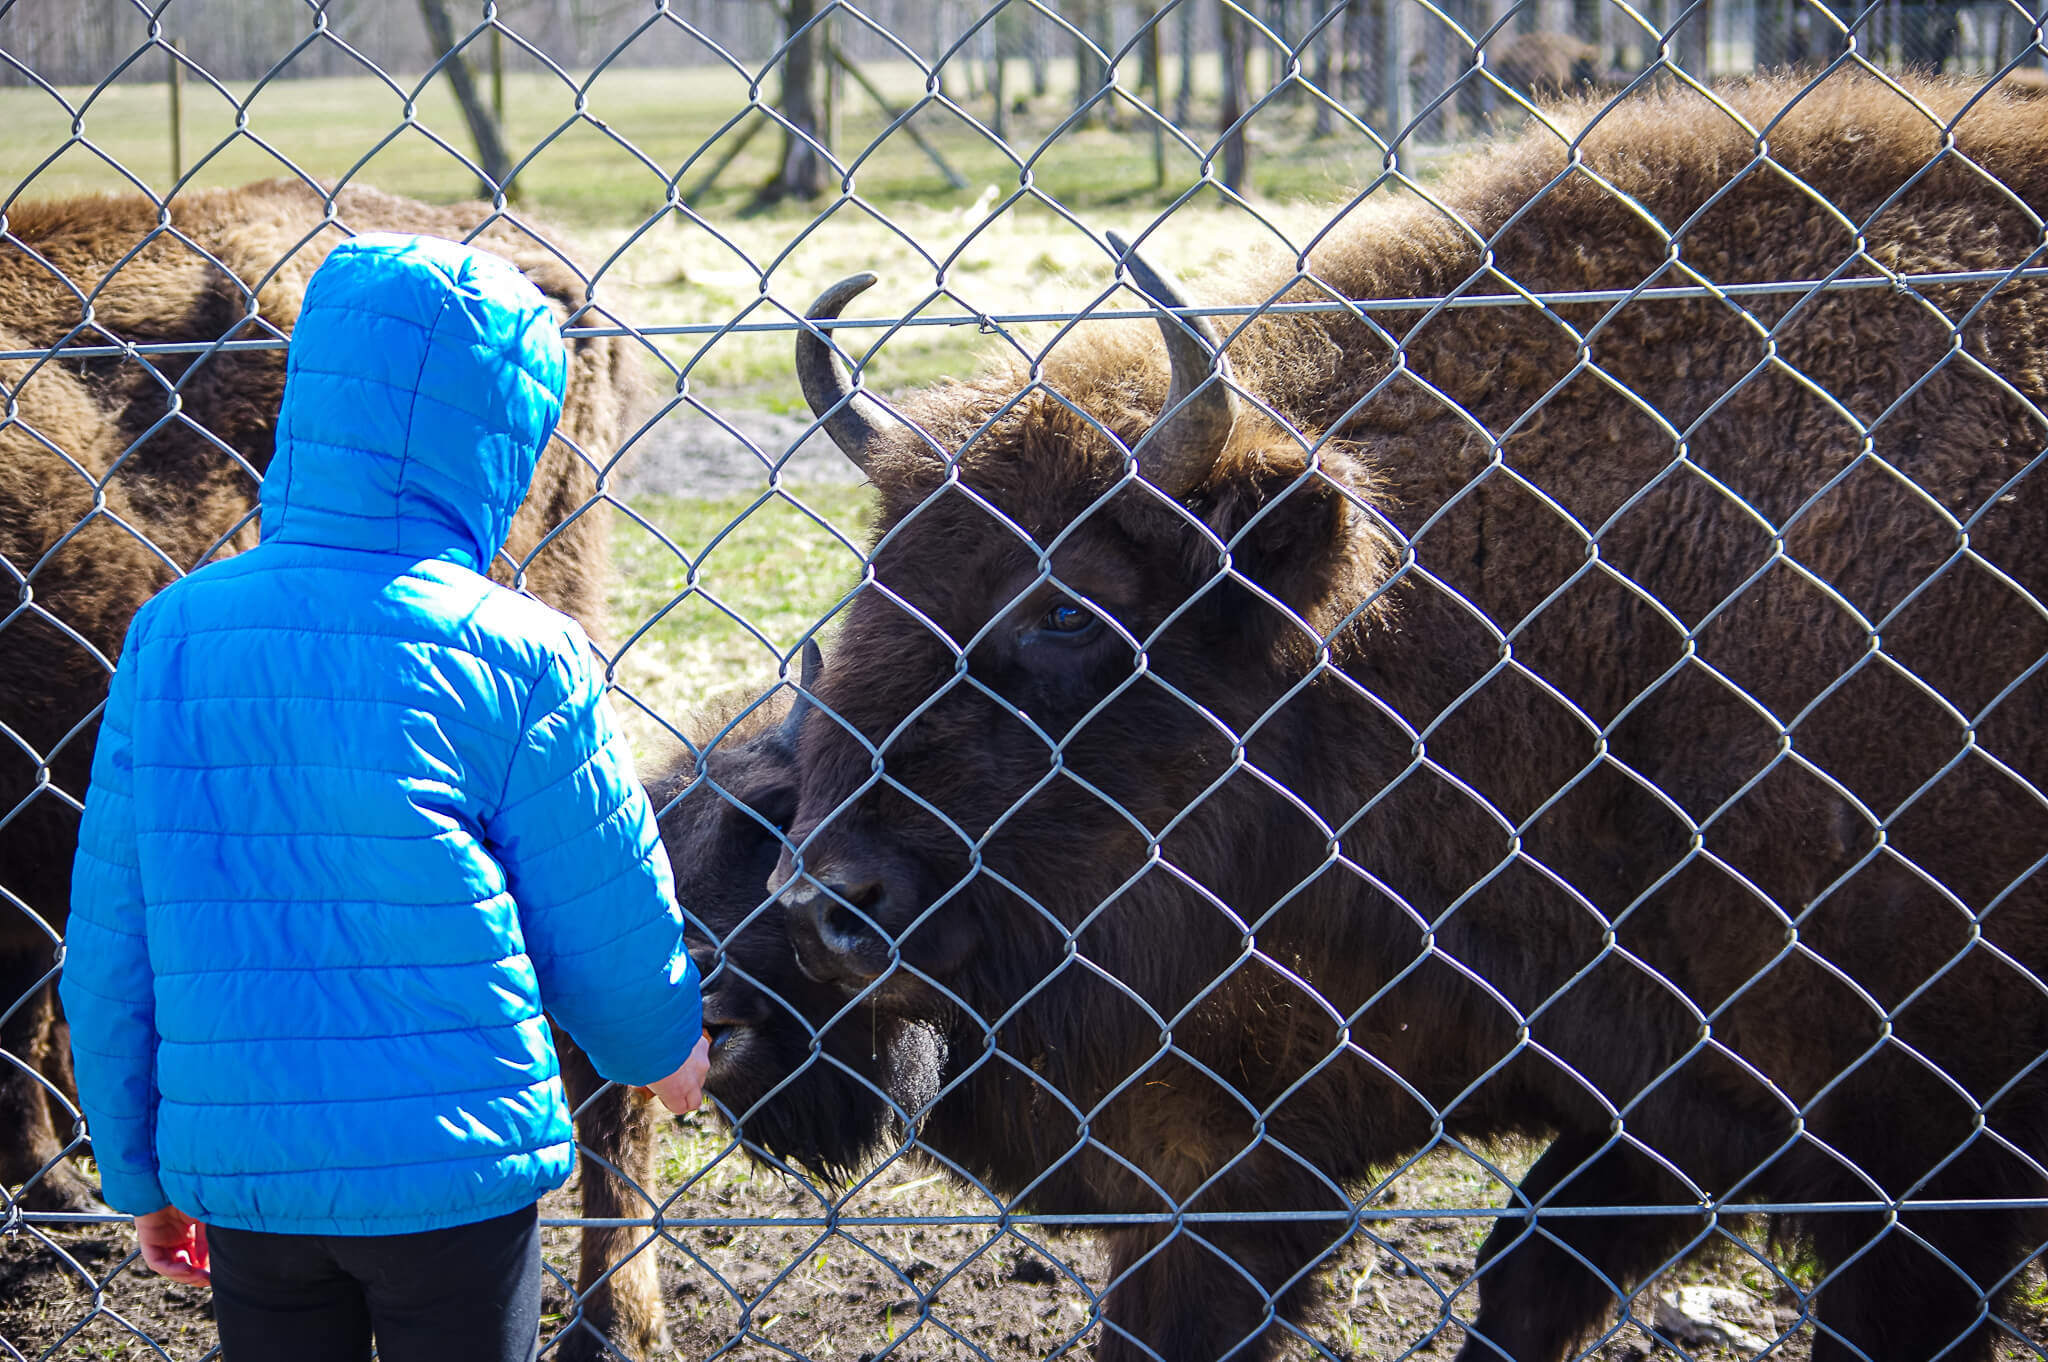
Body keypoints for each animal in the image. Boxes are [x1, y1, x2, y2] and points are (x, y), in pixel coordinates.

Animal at [700, 74, 2048, 1359]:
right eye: (873, 580)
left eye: (1066, 609)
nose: (821, 905)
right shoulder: (1661, 1094)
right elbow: (1524, 1274)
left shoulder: (1919, 1162)